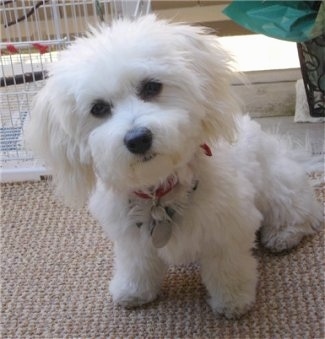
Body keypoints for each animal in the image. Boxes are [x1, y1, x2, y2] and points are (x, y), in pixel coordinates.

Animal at [26, 15, 322, 318]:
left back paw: (282, 235)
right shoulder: (132, 240)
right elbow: (137, 265)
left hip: (277, 184)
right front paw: (133, 291)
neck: (160, 192)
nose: (138, 139)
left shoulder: (227, 229)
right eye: (98, 108)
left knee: (302, 211)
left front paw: (233, 300)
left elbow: (228, 269)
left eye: (151, 87)